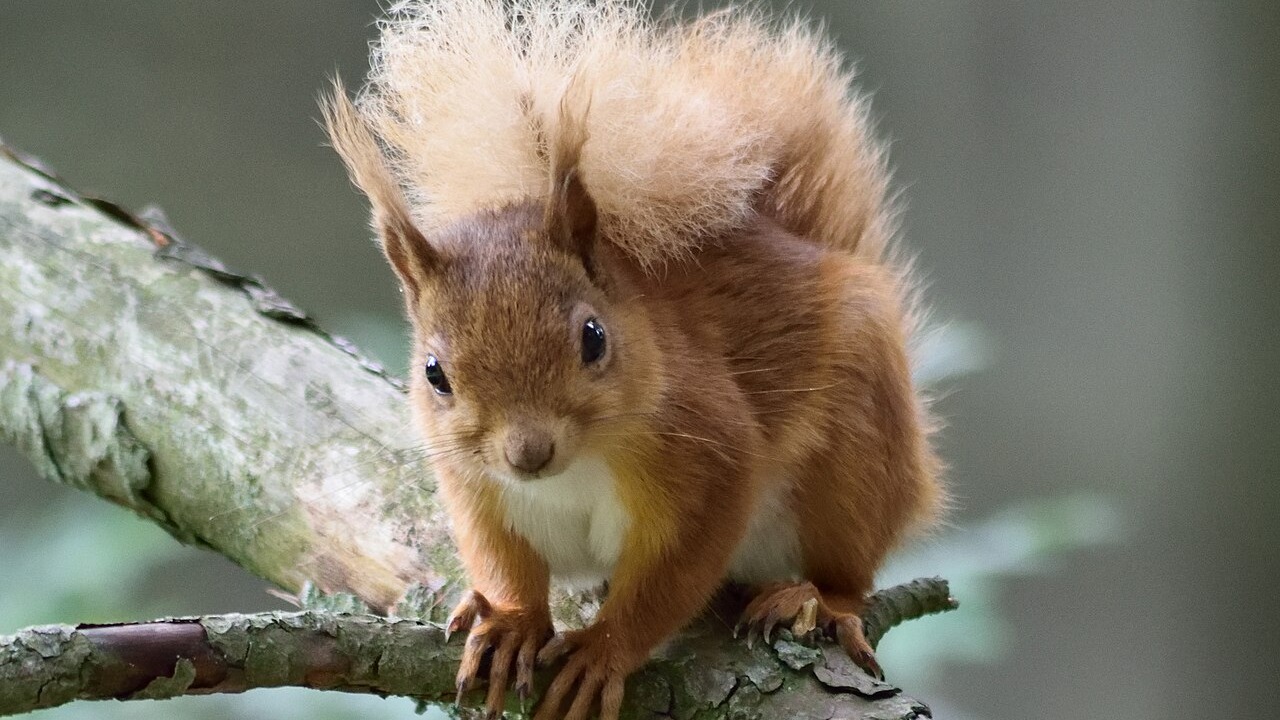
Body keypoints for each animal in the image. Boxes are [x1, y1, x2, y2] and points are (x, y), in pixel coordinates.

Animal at [323, 1, 944, 718]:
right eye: (434, 374)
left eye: (593, 338)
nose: (528, 454)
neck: (577, 467)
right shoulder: (477, 490)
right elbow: (501, 560)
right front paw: (509, 621)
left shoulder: (712, 455)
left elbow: (673, 577)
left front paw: (603, 650)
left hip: (855, 457)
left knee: (851, 567)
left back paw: (816, 599)